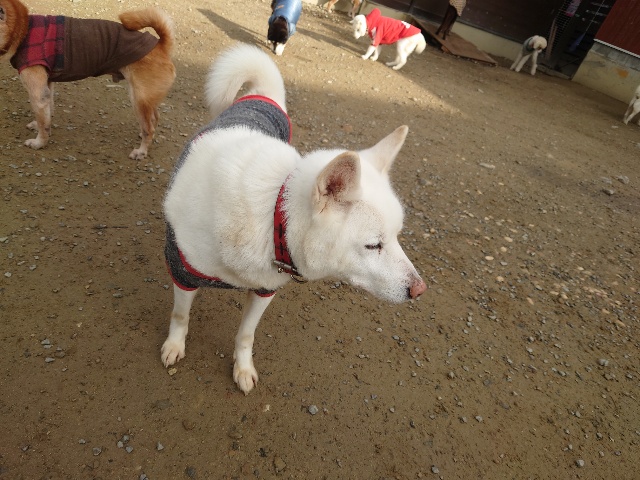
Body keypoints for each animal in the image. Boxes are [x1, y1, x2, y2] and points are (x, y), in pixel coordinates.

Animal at [0, 0, 175, 160]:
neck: (23, 29)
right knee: (154, 119)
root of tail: (161, 45)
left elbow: (44, 122)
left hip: (138, 99)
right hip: (145, 98)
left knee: (149, 128)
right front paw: (38, 126)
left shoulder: (37, 93)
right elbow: (47, 113)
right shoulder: (46, 86)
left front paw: (39, 143)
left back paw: (142, 151)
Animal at [160, 43, 427, 395]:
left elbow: (246, 335)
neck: (272, 216)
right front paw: (175, 344)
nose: (420, 290)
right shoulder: (183, 270)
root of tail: (262, 95)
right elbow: (180, 316)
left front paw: (243, 368)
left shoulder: (265, 289)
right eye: (373, 245)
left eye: (397, 236)